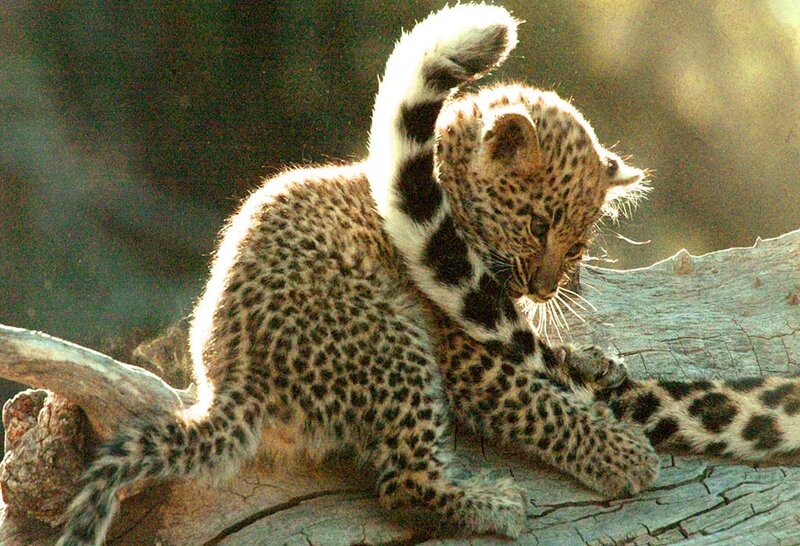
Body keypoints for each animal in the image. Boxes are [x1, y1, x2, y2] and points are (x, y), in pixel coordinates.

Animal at [58, 4, 800, 545]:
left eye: (578, 246)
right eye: (539, 226)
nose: (543, 288)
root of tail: (234, 385)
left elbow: (552, 359)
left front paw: (598, 361)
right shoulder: (464, 350)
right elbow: (538, 403)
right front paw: (619, 451)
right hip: (388, 341)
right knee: (404, 483)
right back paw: (493, 502)